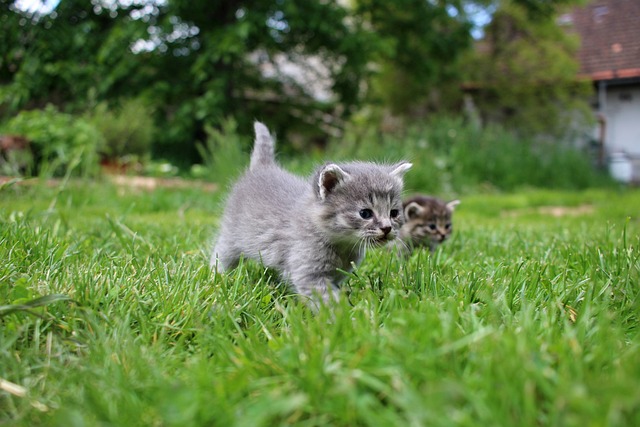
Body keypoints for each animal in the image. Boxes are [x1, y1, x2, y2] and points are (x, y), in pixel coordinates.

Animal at [210, 122, 410, 310]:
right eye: (365, 213)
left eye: (394, 213)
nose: (387, 228)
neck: (342, 245)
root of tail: (263, 167)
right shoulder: (310, 274)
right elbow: (328, 301)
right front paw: (345, 317)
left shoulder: (336, 275)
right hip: (231, 236)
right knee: (221, 254)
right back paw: (216, 276)